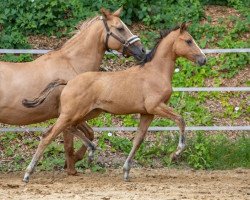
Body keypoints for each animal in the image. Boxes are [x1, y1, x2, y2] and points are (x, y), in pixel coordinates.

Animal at [22, 22, 205, 182]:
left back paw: (91, 151)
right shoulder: (156, 106)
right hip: (72, 114)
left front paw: (126, 172)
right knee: (49, 135)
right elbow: (180, 120)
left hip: (86, 113)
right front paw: (176, 153)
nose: (203, 60)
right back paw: (28, 174)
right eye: (188, 41)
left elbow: (138, 140)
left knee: (65, 129)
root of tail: (68, 82)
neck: (155, 72)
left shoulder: (147, 113)